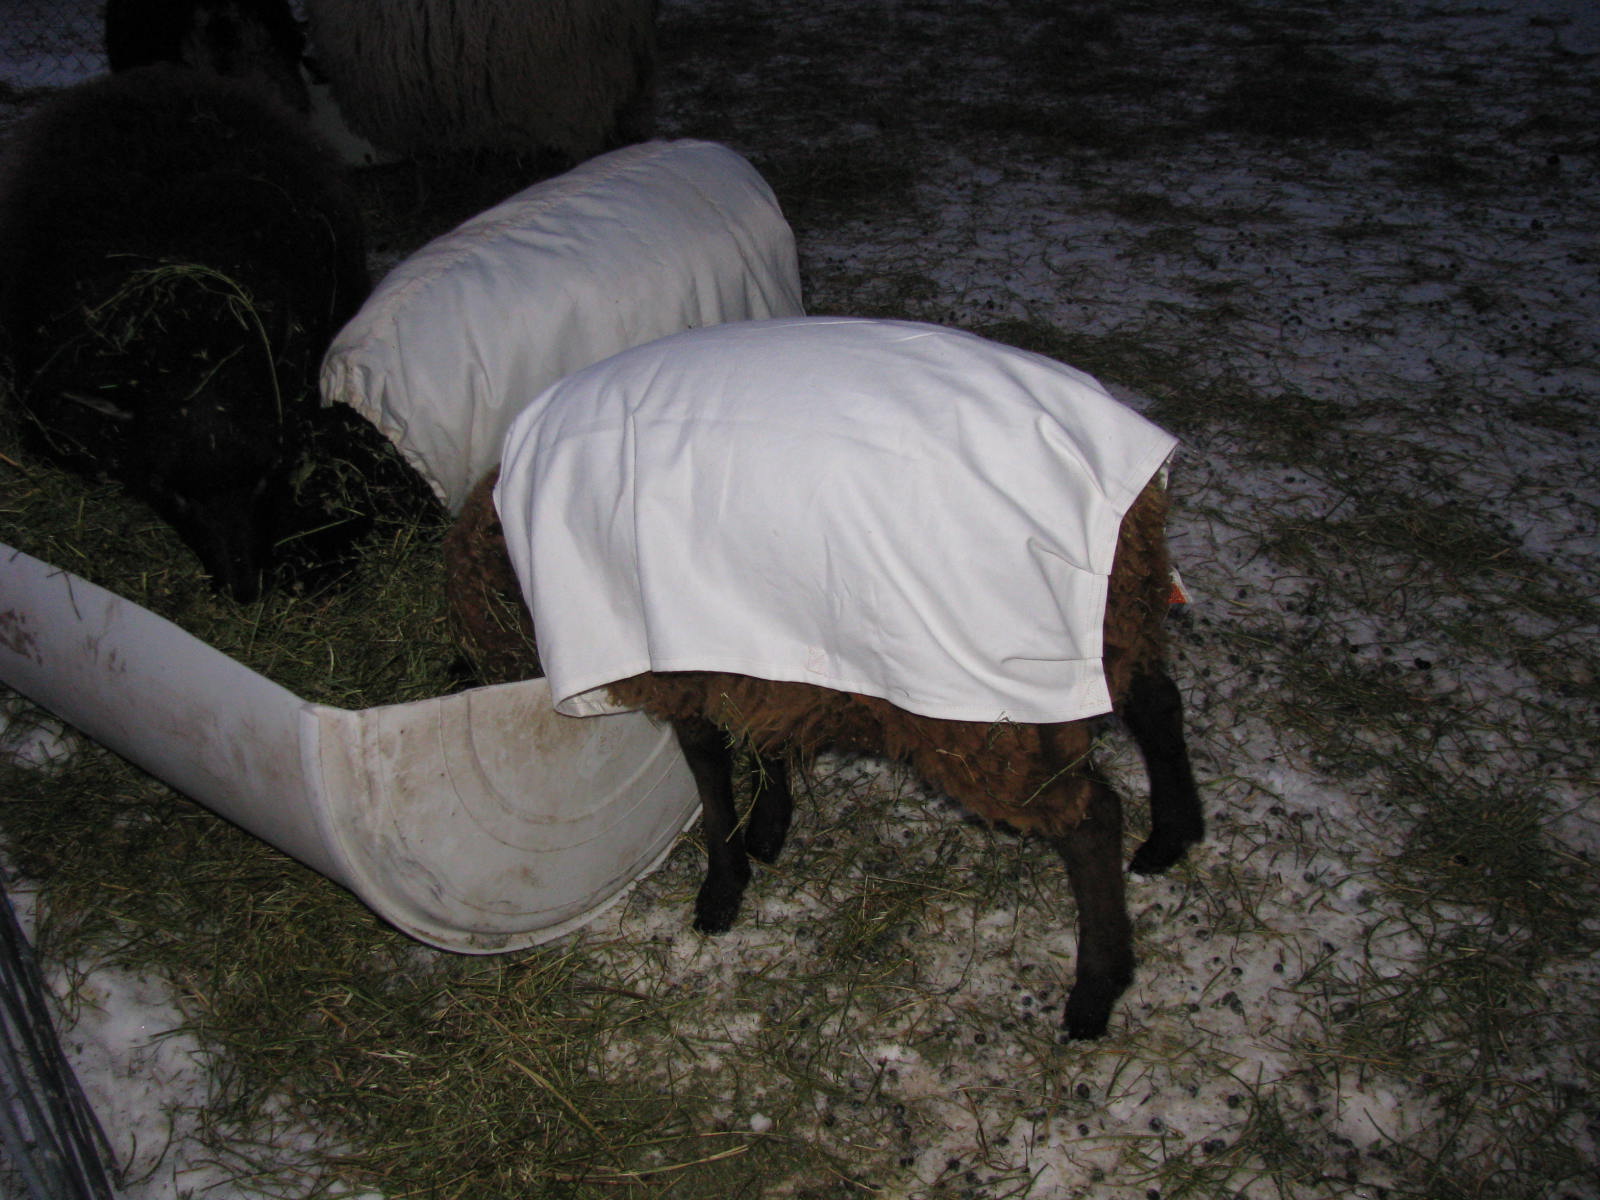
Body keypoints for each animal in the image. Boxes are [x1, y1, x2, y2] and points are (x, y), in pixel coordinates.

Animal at [443, 318, 1204, 1040]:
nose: (460, 672)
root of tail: (1123, 497)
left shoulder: (681, 660)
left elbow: (709, 772)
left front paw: (723, 887)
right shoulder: (750, 649)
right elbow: (764, 741)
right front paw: (770, 827)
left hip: (995, 704)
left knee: (1092, 817)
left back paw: (1097, 988)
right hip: (1115, 621)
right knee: (1160, 703)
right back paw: (1173, 837)